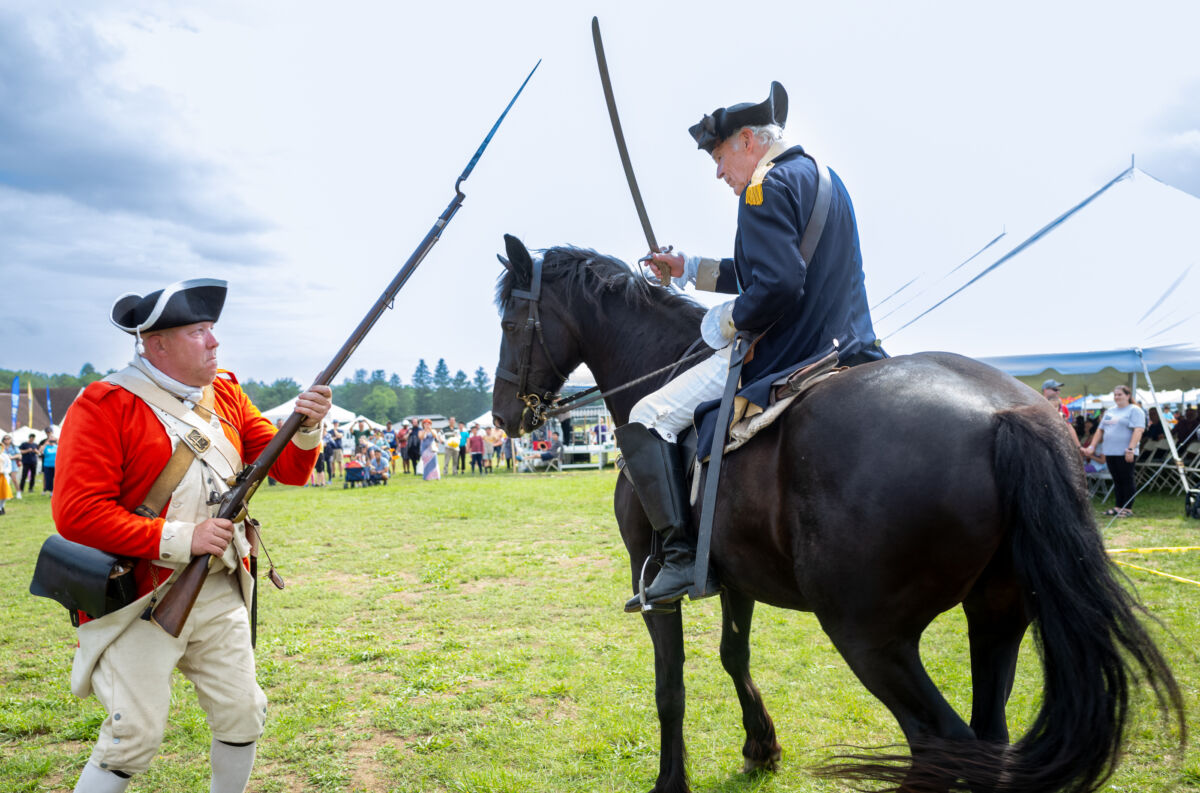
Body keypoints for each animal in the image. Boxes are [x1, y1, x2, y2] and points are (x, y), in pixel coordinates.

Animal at [487, 235, 1180, 791]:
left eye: (513, 322)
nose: (503, 416)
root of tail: (1006, 413)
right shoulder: (733, 576)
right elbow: (733, 656)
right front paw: (760, 747)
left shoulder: (651, 578)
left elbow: (670, 686)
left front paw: (670, 781)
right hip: (997, 616)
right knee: (989, 740)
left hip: (868, 634)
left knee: (942, 744)